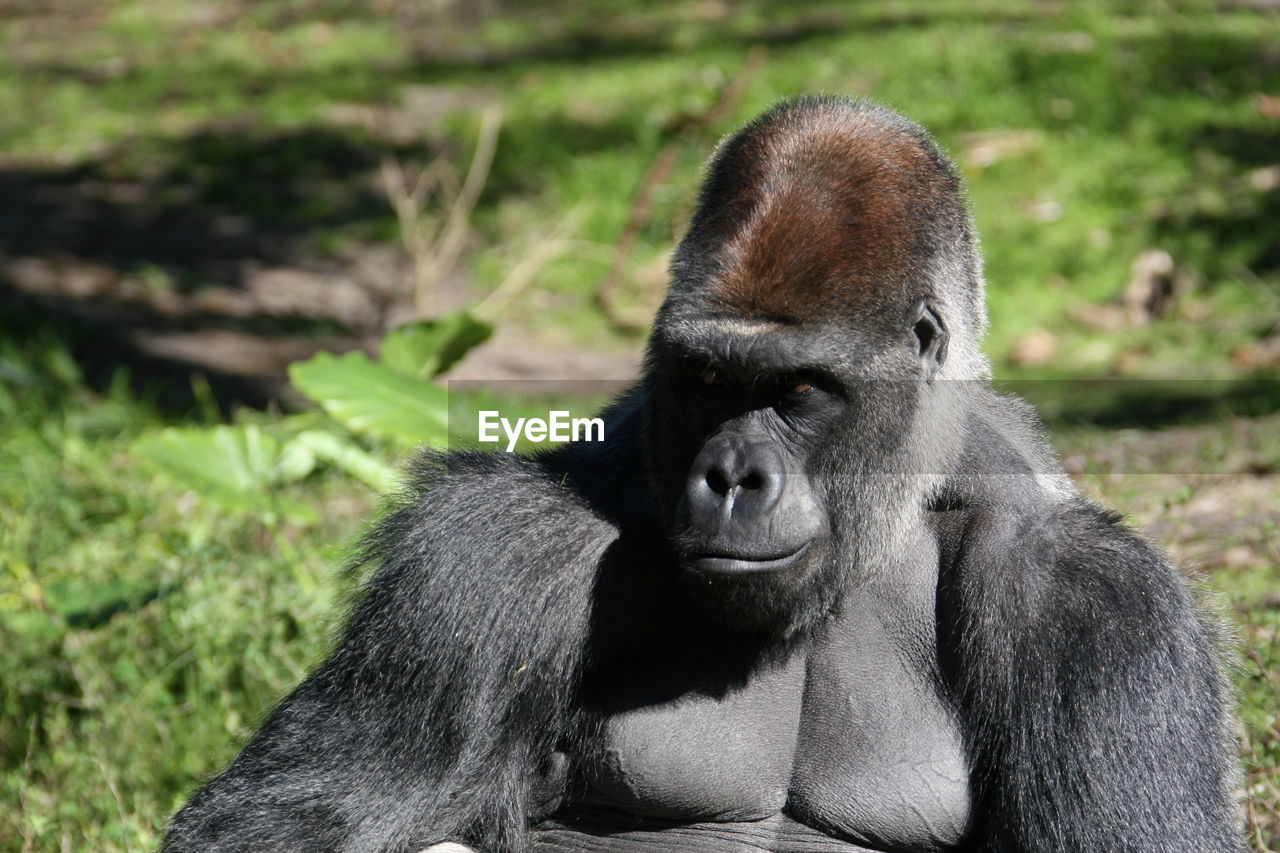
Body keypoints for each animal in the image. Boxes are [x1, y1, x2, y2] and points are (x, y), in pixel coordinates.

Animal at [160, 96, 1239, 850]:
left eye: (801, 390)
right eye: (709, 378)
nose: (731, 478)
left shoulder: (1097, 603)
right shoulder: (496, 547)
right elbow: (279, 822)